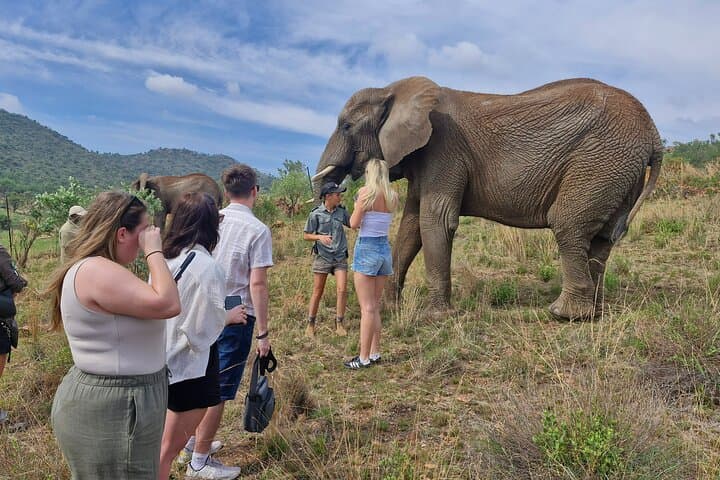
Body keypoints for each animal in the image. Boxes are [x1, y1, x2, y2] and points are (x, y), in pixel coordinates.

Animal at [312, 76, 662, 320]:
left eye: (346, 126)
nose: (336, 192)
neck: (392, 90)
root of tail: (654, 134)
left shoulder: (444, 148)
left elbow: (436, 220)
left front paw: (435, 317)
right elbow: (411, 226)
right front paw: (390, 308)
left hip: (601, 160)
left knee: (568, 225)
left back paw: (564, 315)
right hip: (619, 170)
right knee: (603, 238)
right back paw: (594, 312)